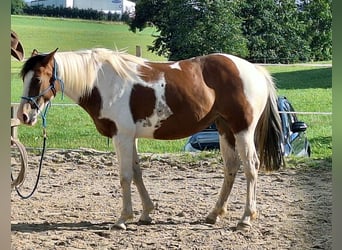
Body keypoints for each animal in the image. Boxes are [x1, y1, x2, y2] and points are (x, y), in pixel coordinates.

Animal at [17, 47, 284, 229]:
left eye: (37, 79)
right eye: (24, 78)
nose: (23, 115)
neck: (102, 83)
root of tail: (254, 70)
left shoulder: (122, 136)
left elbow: (125, 176)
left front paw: (123, 219)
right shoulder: (131, 137)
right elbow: (137, 173)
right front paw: (146, 213)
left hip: (242, 130)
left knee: (251, 167)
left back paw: (246, 218)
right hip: (225, 128)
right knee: (231, 167)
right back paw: (214, 213)